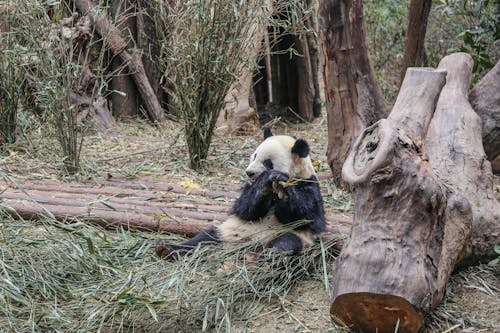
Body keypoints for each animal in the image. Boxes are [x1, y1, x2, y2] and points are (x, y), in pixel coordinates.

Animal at [157, 127, 328, 260]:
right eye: (254, 156)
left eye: (268, 162)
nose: (249, 172)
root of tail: (249, 244)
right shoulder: (249, 188)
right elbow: (245, 209)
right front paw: (266, 181)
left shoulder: (309, 184)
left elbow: (307, 217)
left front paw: (284, 192)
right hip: (230, 230)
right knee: (205, 237)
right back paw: (167, 249)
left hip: (285, 235)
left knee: (285, 244)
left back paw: (267, 257)